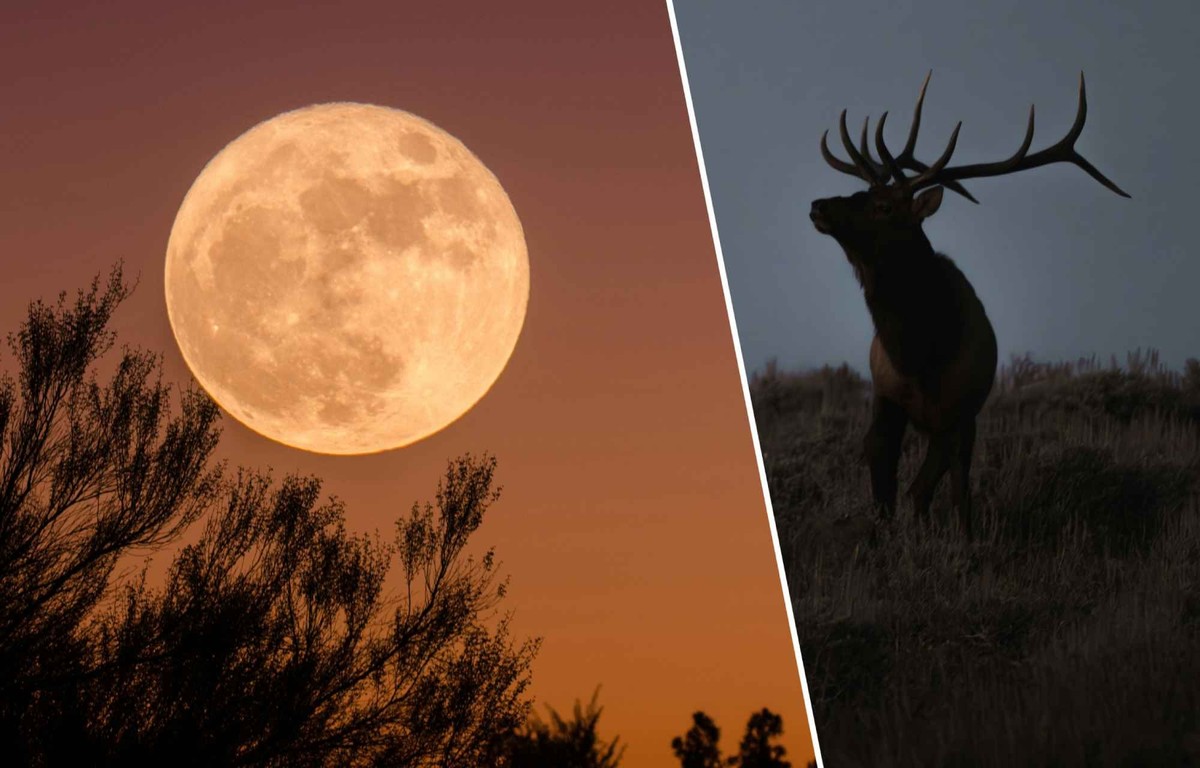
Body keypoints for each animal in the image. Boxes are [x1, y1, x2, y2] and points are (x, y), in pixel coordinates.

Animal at [808, 72, 1129, 537]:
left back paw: (966, 533)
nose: (818, 205)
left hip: (968, 420)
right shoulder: (885, 400)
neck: (920, 356)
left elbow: (922, 491)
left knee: (958, 484)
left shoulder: (956, 412)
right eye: (858, 191)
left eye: (884, 206)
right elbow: (884, 492)